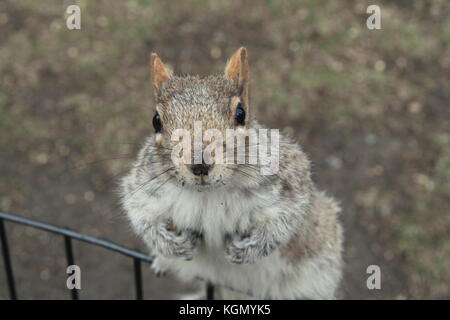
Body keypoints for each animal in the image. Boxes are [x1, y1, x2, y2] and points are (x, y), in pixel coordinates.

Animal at [119, 47, 342, 300]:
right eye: (156, 120)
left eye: (241, 113)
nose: (200, 165)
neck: (209, 193)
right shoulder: (143, 186)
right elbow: (140, 215)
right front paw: (172, 244)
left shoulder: (290, 180)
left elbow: (287, 219)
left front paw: (248, 249)